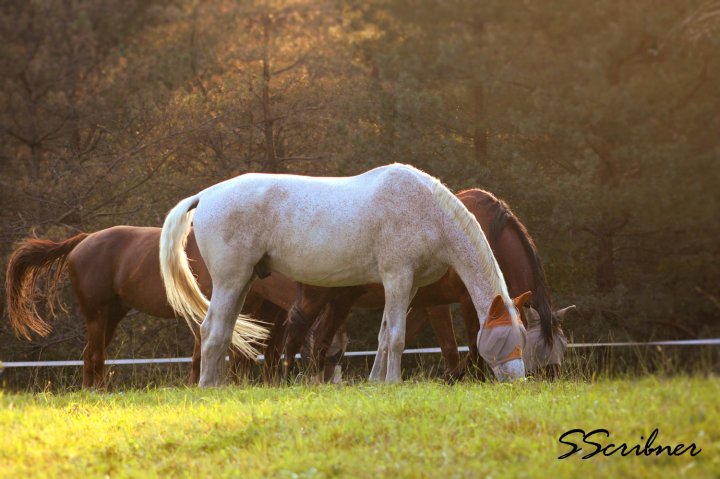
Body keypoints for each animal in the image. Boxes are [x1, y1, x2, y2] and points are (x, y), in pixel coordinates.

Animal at [4, 226, 323, 388]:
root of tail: (83, 240)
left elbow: (246, 355)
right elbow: (204, 353)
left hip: (111, 316)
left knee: (90, 354)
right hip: (98, 315)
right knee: (94, 355)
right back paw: (96, 391)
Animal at [159, 163, 529, 386]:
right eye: (504, 340)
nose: (519, 381)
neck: (425, 209)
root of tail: (206, 195)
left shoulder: (406, 288)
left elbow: (384, 335)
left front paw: (377, 382)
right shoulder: (398, 278)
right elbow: (397, 336)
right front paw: (392, 382)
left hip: (244, 283)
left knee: (223, 332)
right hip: (230, 281)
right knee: (211, 331)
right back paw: (209, 388)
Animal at [282, 188, 572, 380]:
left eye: (561, 351)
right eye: (537, 351)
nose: (549, 383)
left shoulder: (425, 305)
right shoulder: (456, 304)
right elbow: (465, 346)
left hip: (341, 299)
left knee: (321, 339)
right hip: (317, 297)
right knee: (297, 328)